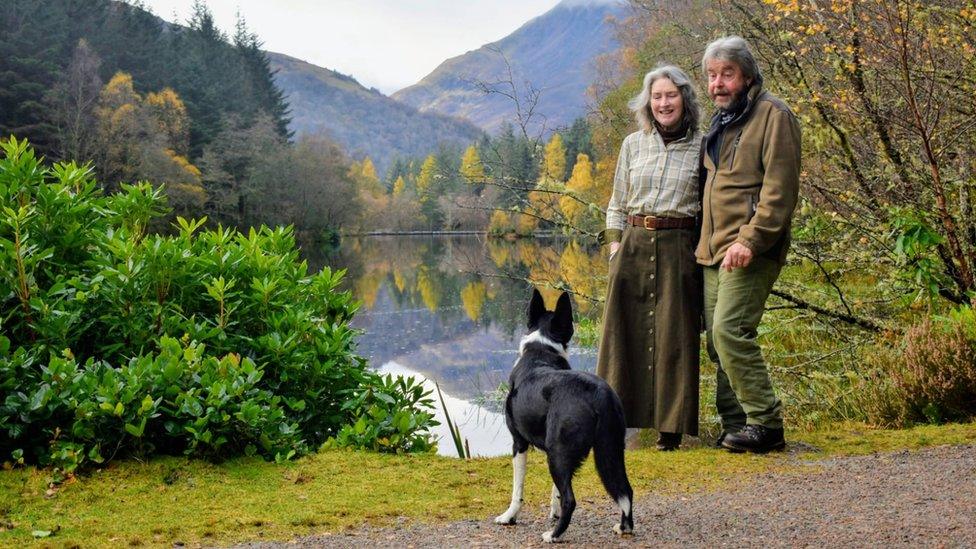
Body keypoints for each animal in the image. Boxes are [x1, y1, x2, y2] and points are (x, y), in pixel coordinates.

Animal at [496, 288, 632, 540]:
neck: (541, 351)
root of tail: (598, 392)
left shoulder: (519, 443)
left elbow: (517, 490)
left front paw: (509, 517)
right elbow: (555, 491)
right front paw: (553, 512)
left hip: (558, 452)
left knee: (571, 499)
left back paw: (553, 535)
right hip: (609, 450)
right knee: (625, 490)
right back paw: (623, 527)